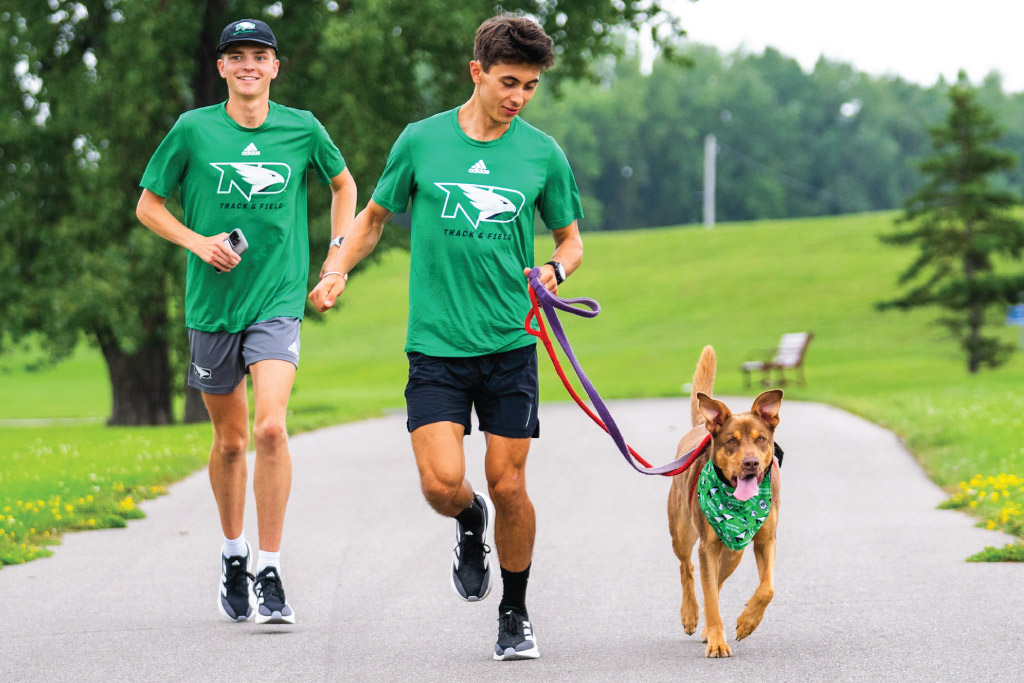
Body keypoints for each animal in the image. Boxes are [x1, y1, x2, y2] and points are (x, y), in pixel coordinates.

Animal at [663, 348, 782, 655]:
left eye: (761, 439)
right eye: (731, 441)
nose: (751, 463)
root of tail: (700, 427)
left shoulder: (765, 539)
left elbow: (768, 588)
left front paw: (747, 622)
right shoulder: (707, 545)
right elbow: (709, 595)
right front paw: (718, 641)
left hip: (734, 552)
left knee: (716, 582)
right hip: (682, 533)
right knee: (688, 568)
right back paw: (691, 615)